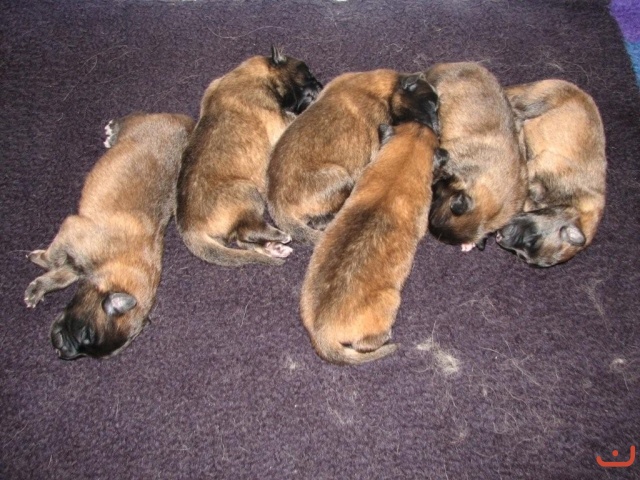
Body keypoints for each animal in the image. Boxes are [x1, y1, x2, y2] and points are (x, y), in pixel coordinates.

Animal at [24, 113, 194, 359]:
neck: (121, 263)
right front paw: (41, 259)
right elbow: (54, 259)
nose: (63, 352)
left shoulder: (79, 267)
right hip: (141, 124)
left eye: (89, 352)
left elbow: (60, 275)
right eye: (86, 332)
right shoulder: (72, 231)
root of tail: (188, 123)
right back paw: (113, 130)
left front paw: (38, 288)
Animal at [176, 47, 322, 266]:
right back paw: (279, 237)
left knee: (242, 239)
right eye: (308, 74)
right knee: (247, 231)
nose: (321, 85)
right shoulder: (279, 122)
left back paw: (274, 248)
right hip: (248, 193)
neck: (258, 77)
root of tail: (190, 228)